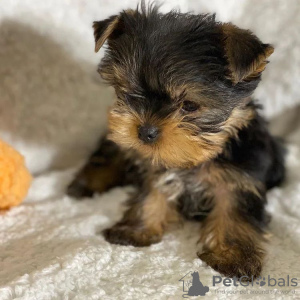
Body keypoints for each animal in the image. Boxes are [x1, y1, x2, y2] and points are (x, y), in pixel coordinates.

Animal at [67, 4, 284, 278]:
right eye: (127, 93)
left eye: (189, 105)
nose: (145, 131)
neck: (195, 159)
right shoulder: (154, 165)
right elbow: (151, 192)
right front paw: (136, 229)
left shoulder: (240, 176)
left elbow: (234, 212)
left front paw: (232, 256)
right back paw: (85, 183)